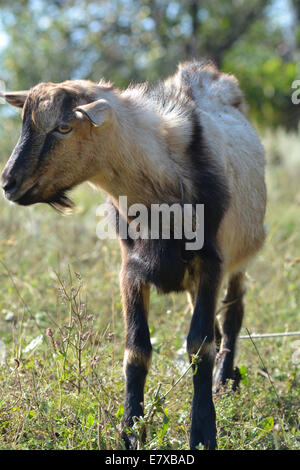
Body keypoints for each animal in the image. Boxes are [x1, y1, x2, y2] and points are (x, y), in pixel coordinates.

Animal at [1, 60, 266, 450]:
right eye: (24, 123)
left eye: (64, 127)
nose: (8, 183)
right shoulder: (131, 269)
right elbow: (137, 350)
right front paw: (130, 431)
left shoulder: (211, 263)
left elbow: (199, 346)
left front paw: (203, 431)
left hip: (239, 259)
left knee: (233, 312)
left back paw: (225, 379)